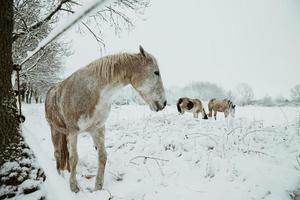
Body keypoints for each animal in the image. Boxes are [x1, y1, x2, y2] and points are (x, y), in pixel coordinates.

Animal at [44, 46, 166, 193]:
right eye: (156, 72)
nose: (164, 103)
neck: (91, 91)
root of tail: (50, 92)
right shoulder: (73, 132)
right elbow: (74, 159)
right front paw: (74, 187)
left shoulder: (98, 129)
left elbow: (102, 156)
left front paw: (98, 186)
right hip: (55, 130)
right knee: (58, 154)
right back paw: (60, 178)